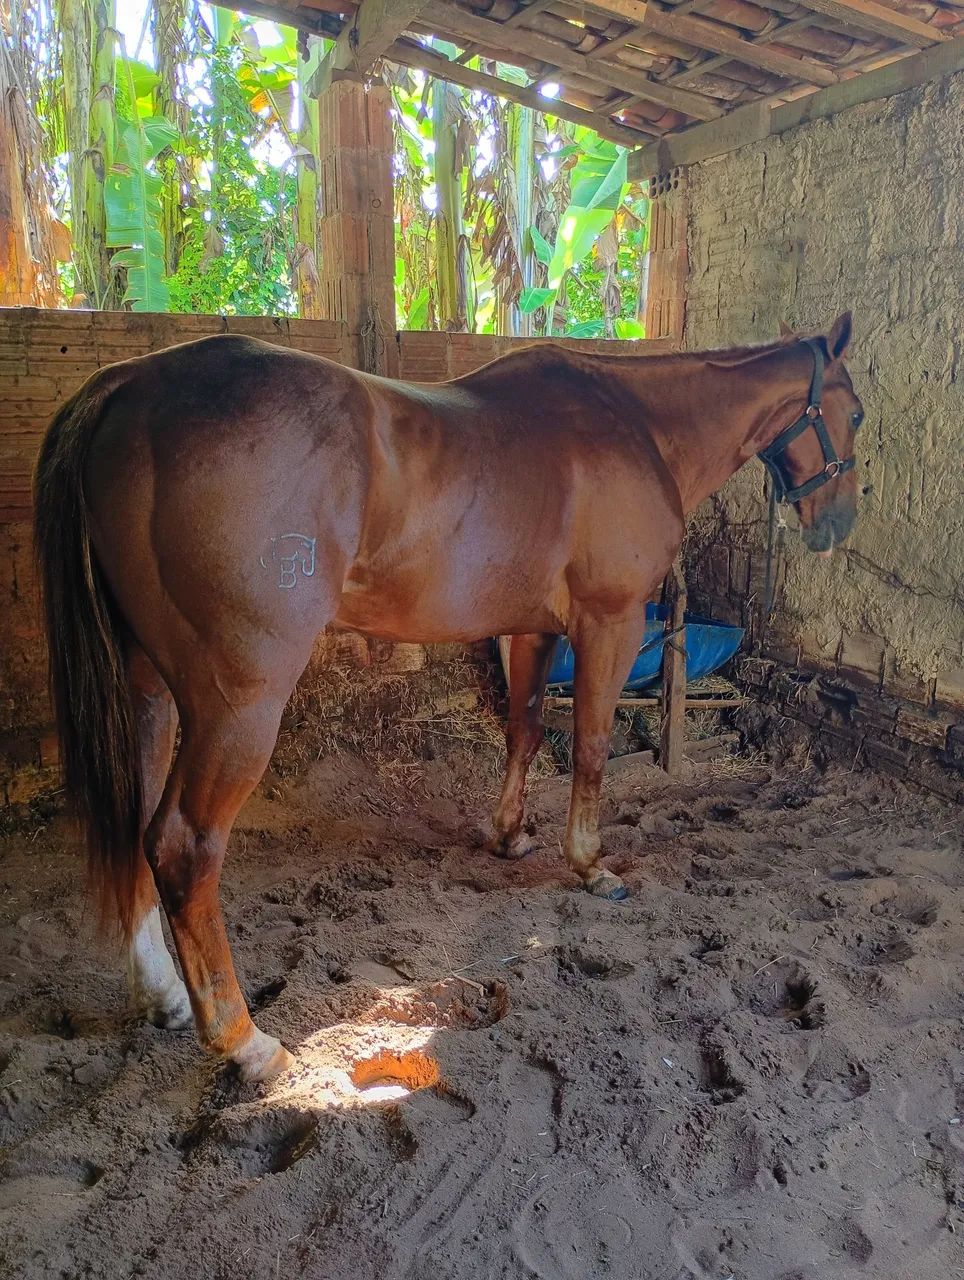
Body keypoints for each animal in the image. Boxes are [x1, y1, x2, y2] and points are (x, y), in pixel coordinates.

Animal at [34, 313, 863, 1082]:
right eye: (854, 412)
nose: (838, 524)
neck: (638, 423)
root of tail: (128, 389)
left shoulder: (532, 630)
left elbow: (524, 730)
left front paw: (509, 835)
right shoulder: (611, 620)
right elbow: (590, 743)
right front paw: (591, 865)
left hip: (148, 687)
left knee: (136, 820)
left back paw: (167, 997)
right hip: (238, 702)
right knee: (183, 846)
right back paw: (246, 1043)